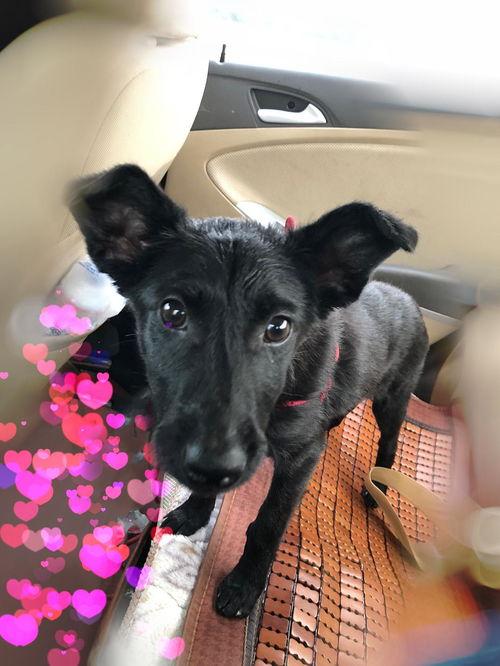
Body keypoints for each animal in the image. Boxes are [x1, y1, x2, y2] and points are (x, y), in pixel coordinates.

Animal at [69, 164, 429, 619]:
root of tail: (410, 301)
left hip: (394, 396)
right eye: (172, 312)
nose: (217, 465)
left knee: (391, 439)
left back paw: (377, 486)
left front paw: (244, 585)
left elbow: (267, 525)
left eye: (279, 327)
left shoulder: (300, 459)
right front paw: (194, 512)